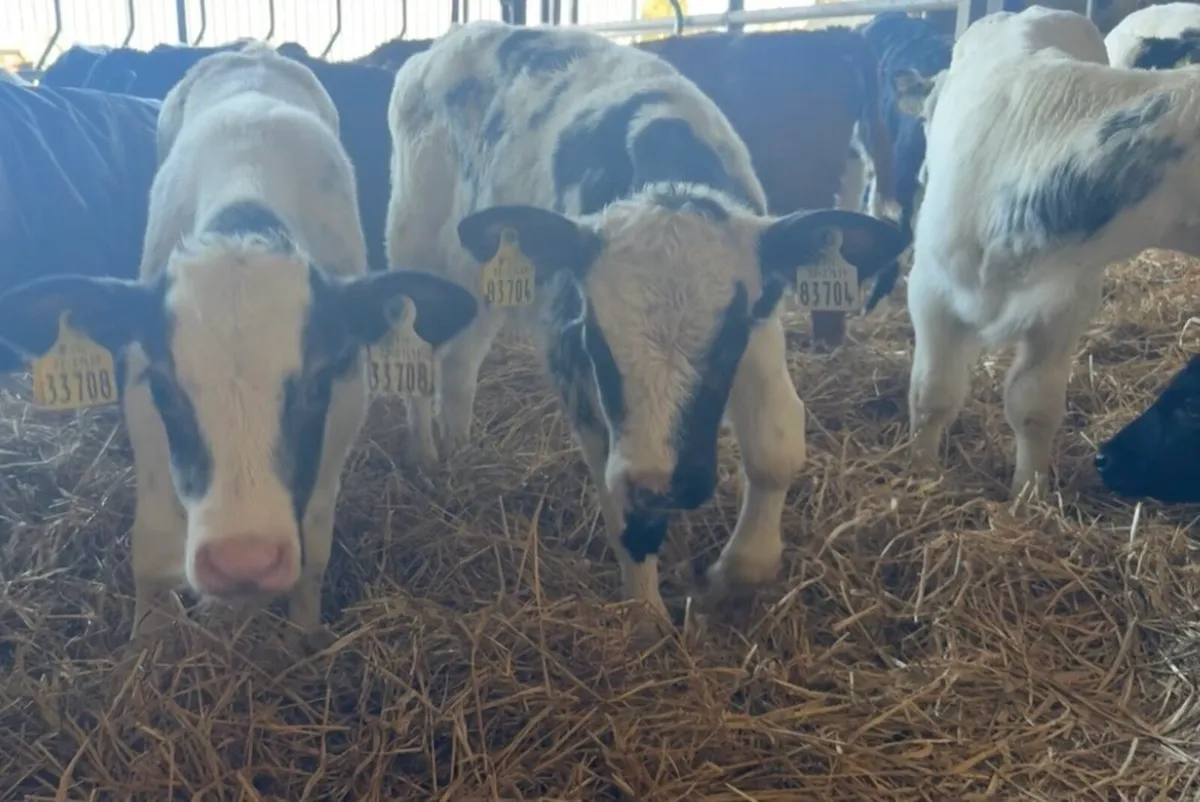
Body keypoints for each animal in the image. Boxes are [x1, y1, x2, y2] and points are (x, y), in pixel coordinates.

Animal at [0, 44, 478, 646]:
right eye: (164, 387)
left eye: (317, 383)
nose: (242, 562)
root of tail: (255, 51)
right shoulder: (142, 409)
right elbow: (153, 544)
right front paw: (150, 642)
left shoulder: (343, 412)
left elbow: (314, 544)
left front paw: (300, 639)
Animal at [386, 21, 908, 634]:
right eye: (595, 340)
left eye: (727, 339)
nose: (662, 483)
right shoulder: (574, 365)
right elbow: (622, 504)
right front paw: (646, 615)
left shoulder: (762, 324)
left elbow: (776, 443)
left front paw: (731, 576)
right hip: (417, 240)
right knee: (419, 350)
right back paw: (425, 454)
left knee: (461, 359)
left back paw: (461, 446)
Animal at [903, 5, 1200, 498]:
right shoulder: (930, 290)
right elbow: (933, 393)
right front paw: (921, 475)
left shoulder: (1065, 305)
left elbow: (1034, 405)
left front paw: (1028, 496)